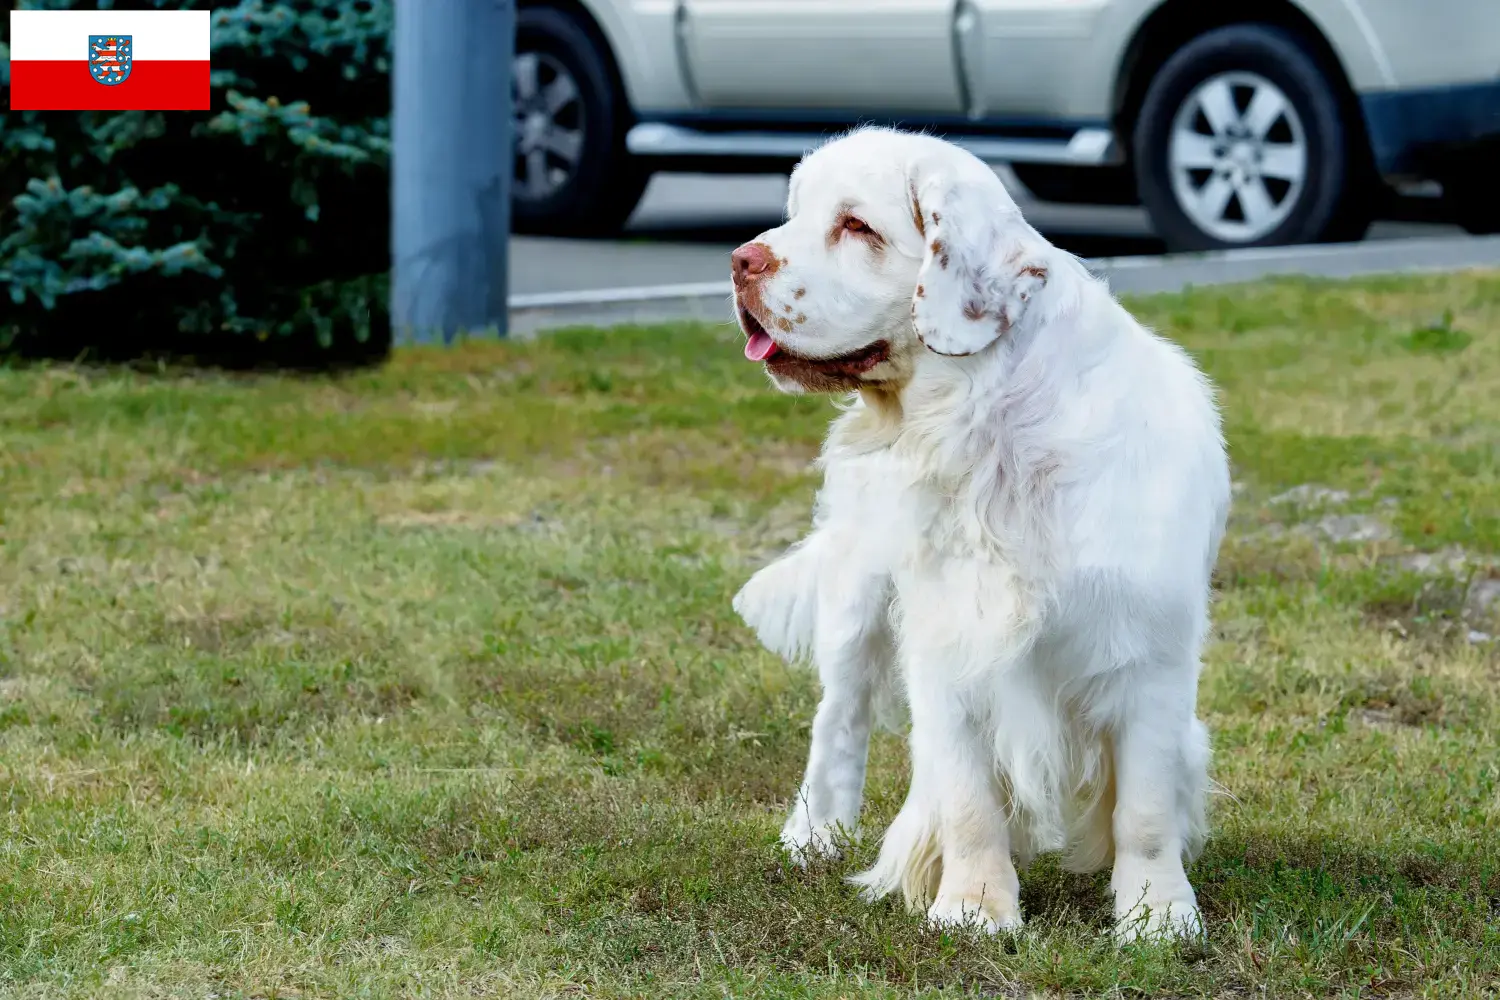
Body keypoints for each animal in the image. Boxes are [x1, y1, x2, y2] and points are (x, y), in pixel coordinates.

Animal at [729, 128, 1230, 941]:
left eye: (856, 226)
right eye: (795, 213)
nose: (741, 260)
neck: (992, 434)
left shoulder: (1149, 653)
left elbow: (1147, 808)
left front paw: (1156, 916)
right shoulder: (949, 641)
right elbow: (968, 799)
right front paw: (973, 907)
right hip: (858, 599)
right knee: (839, 719)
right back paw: (813, 837)